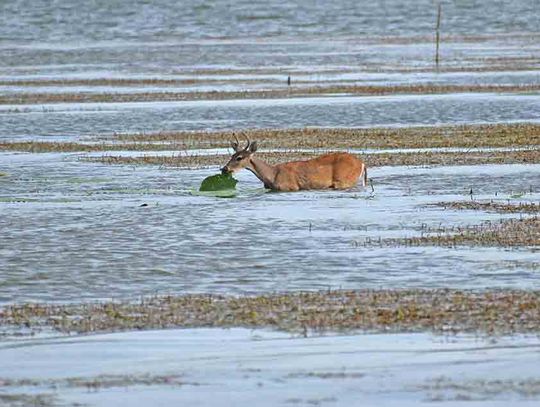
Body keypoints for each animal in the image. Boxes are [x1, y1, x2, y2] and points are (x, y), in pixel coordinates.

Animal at [220, 136, 368, 192]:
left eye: (239, 158)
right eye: (231, 155)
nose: (224, 169)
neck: (272, 175)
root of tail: (362, 163)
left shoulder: (290, 187)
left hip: (343, 180)